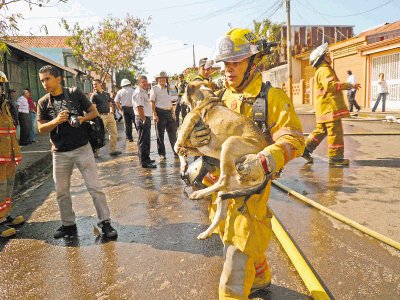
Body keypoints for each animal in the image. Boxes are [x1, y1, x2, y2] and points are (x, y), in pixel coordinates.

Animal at [175, 81, 268, 240]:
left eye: (182, 88)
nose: (178, 100)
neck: (205, 96)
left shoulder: (190, 119)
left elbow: (178, 141)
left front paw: (181, 156)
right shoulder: (198, 147)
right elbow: (184, 149)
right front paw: (183, 164)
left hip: (229, 144)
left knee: (222, 180)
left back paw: (199, 193)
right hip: (229, 184)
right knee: (222, 212)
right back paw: (206, 233)